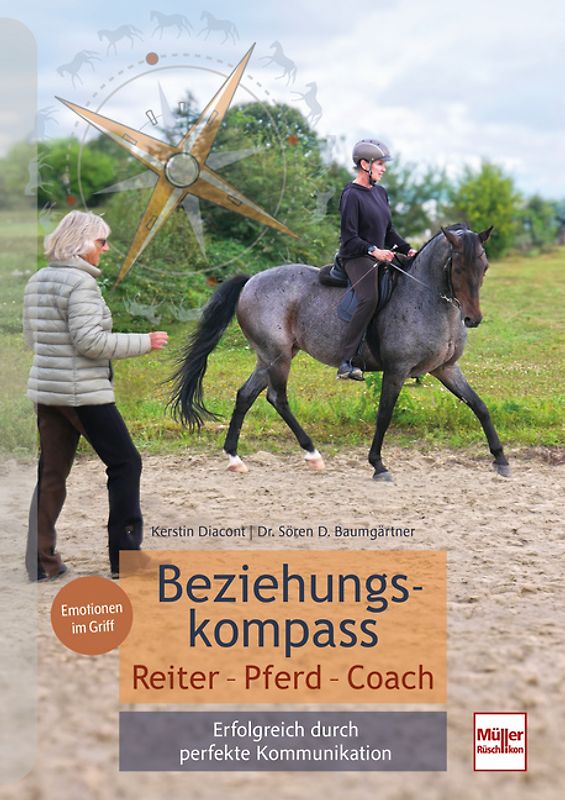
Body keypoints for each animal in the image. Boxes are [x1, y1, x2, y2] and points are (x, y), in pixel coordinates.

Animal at [169, 226, 510, 481]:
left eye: (484, 266)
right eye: (458, 267)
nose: (473, 319)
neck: (427, 299)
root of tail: (251, 279)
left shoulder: (447, 368)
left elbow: (480, 406)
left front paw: (501, 459)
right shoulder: (396, 370)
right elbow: (384, 414)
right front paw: (378, 465)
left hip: (269, 357)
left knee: (245, 395)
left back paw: (234, 458)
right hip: (277, 356)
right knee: (277, 398)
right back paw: (312, 454)